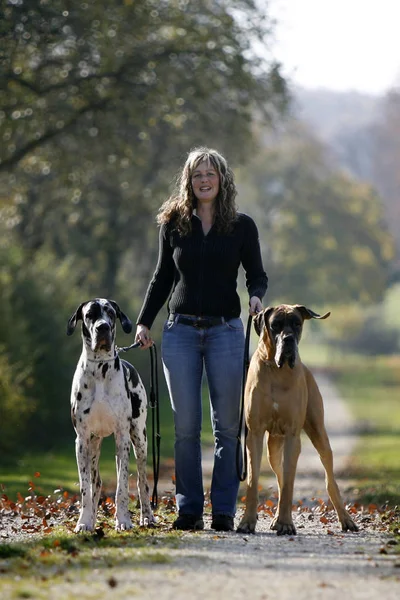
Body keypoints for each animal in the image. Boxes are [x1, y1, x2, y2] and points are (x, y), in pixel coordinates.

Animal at [66, 298, 154, 532]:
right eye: (89, 315)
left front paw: (123, 520)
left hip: (139, 439)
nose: (102, 327)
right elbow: (85, 488)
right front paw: (84, 521)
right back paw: (92, 519)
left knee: (143, 482)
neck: (99, 369)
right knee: (95, 483)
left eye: (111, 314)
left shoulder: (122, 437)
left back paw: (147, 516)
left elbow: (122, 485)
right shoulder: (82, 440)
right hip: (94, 444)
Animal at [236, 304, 358, 536]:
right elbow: (253, 481)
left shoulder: (293, 435)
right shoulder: (254, 434)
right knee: (280, 477)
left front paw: (286, 523)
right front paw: (247, 522)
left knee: (329, 480)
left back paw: (346, 519)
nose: (289, 339)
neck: (277, 370)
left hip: (319, 434)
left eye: (297, 324)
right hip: (273, 448)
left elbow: (290, 483)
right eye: (275, 325)